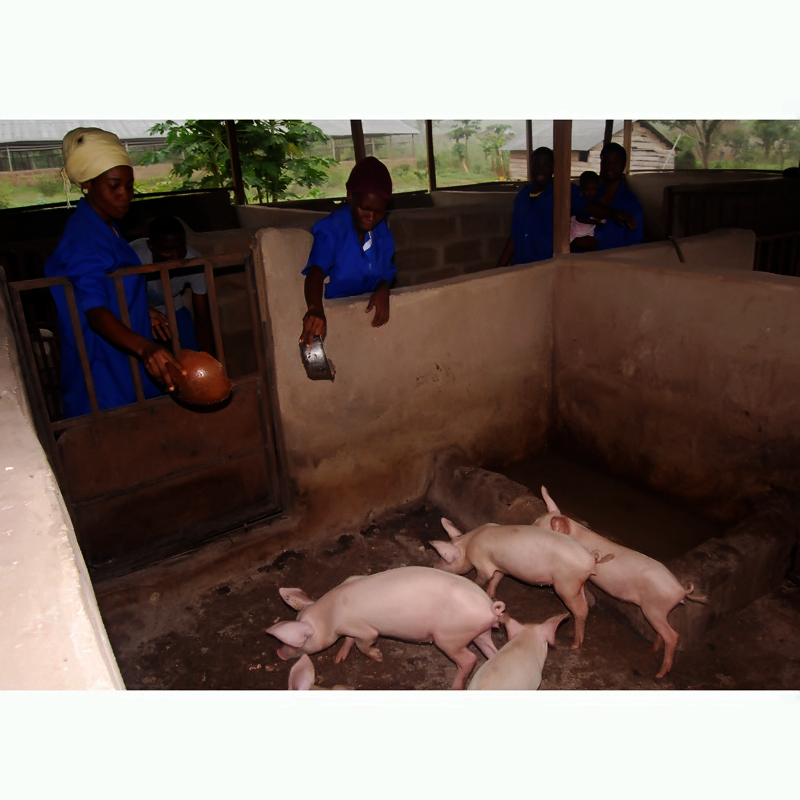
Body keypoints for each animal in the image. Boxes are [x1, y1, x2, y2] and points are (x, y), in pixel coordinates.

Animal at [268, 564, 506, 692]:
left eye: (299, 641)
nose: (279, 653)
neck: (332, 615)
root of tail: (489, 607)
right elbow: (349, 641)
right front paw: (338, 659)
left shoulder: (366, 630)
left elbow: (363, 644)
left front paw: (379, 656)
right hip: (480, 633)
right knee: (490, 651)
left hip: (449, 638)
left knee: (469, 659)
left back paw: (455, 686)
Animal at [432, 520, 612, 648]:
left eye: (445, 558)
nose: (435, 567)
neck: (470, 543)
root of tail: (591, 559)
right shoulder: (500, 566)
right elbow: (496, 579)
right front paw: (491, 595)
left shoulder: (483, 566)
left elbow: (483, 579)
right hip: (578, 584)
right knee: (585, 606)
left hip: (566, 584)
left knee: (580, 609)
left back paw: (575, 645)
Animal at [536, 484, 708, 680]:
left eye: (540, 529)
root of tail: (680, 590)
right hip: (661, 611)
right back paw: (651, 650)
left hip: (654, 609)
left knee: (673, 636)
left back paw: (659, 674)